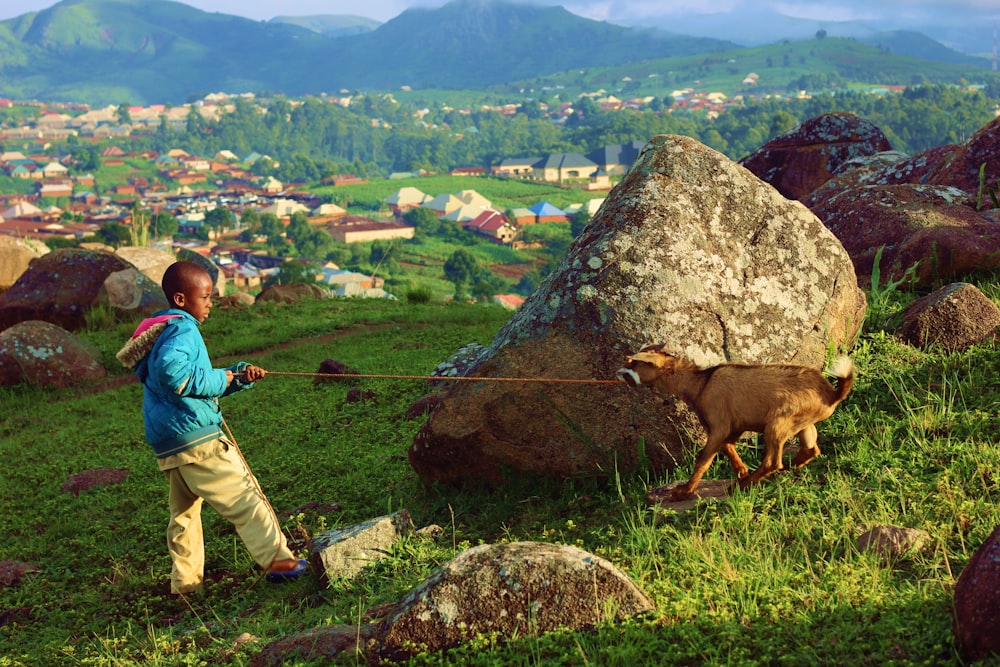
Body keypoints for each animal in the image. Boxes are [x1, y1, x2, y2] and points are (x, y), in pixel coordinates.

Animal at [612, 348, 856, 498]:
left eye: (633, 362)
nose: (617, 373)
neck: (700, 384)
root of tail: (832, 394)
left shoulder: (719, 425)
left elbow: (704, 459)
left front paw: (684, 491)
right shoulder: (734, 425)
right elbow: (728, 446)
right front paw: (742, 470)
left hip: (777, 422)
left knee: (772, 461)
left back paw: (739, 486)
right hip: (803, 422)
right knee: (811, 448)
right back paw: (789, 466)